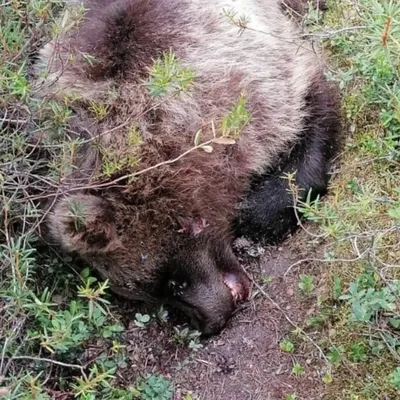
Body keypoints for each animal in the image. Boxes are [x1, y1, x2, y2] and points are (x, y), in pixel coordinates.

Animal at [34, 0, 340, 334]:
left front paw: (253, 211)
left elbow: (312, 111)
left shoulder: (260, 75)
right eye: (149, 293)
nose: (210, 321)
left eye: (170, 281)